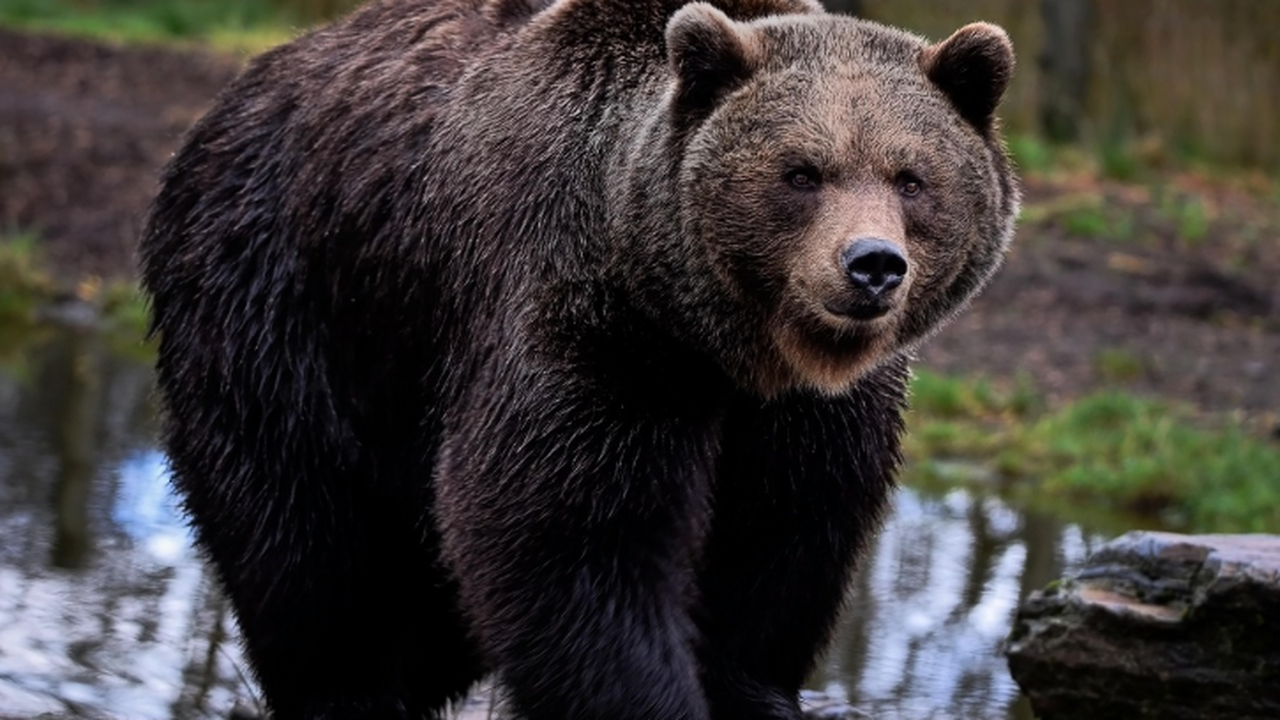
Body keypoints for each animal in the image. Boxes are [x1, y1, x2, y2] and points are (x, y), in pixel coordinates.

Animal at [140, 1, 1018, 717]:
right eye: (801, 172)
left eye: (911, 177)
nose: (871, 265)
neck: (721, 344)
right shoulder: (590, 333)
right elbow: (573, 541)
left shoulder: (808, 414)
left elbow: (782, 539)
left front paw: (754, 691)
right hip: (289, 297)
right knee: (302, 532)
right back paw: (346, 692)